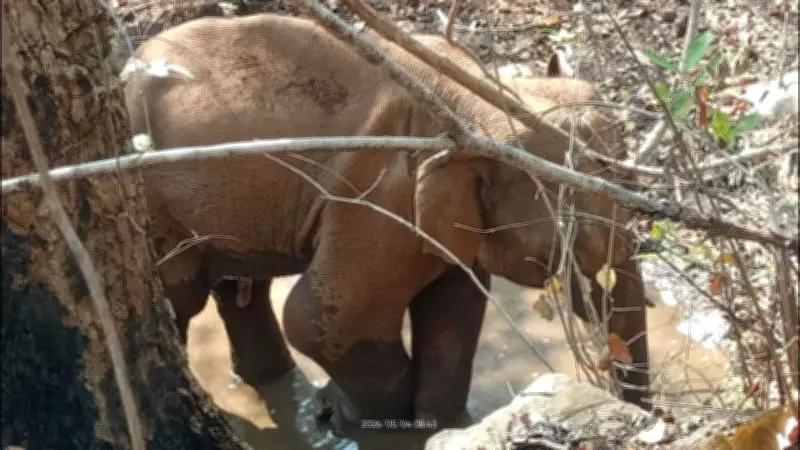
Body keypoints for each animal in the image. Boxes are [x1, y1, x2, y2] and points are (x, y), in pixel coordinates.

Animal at [122, 13, 650, 428]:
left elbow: (454, 305)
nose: (646, 414)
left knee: (238, 290)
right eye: (577, 243)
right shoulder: (377, 196)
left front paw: (441, 423)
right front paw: (360, 421)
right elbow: (321, 318)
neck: (474, 94)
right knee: (183, 299)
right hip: (157, 211)